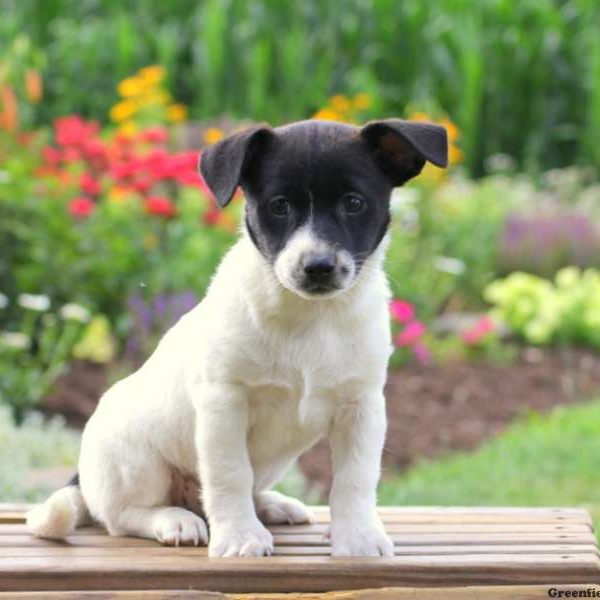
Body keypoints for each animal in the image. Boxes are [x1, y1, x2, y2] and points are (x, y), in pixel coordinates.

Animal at [30, 117, 448, 556]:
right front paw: (239, 537)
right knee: (122, 515)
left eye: (354, 202)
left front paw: (358, 535)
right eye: (279, 206)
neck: (310, 319)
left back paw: (272, 505)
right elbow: (229, 474)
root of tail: (81, 477)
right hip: (136, 462)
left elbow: (355, 478)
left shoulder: (361, 405)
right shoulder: (224, 403)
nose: (317, 266)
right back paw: (175, 520)